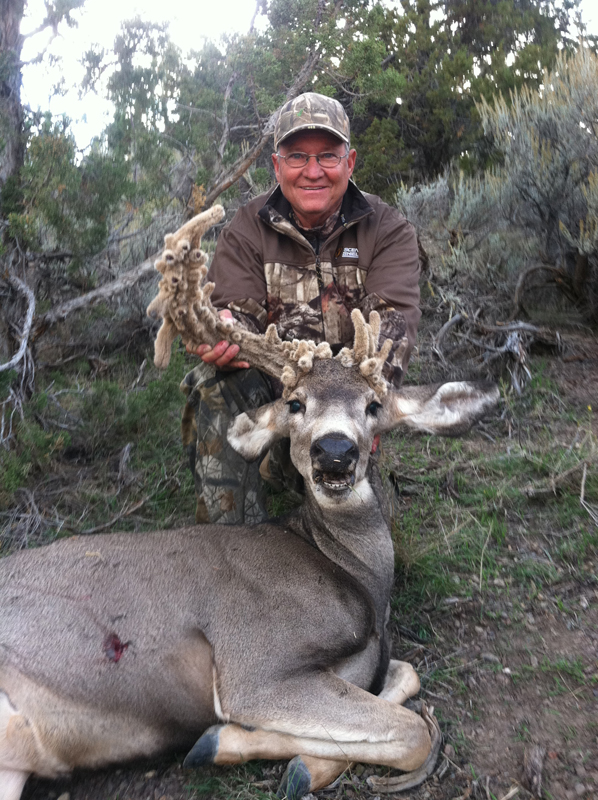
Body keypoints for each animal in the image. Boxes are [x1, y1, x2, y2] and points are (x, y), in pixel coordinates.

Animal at [0, 208, 502, 800]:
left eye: (373, 405)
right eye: (295, 403)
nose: (336, 452)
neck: (351, 572)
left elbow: (405, 675)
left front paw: (275, 756)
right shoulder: (255, 665)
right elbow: (413, 732)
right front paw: (228, 742)